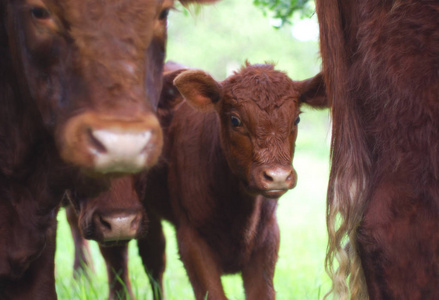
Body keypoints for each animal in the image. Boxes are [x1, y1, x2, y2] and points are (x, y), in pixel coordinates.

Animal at [139, 62, 328, 298]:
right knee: (153, 260)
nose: (277, 176)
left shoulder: (267, 238)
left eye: (297, 119)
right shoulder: (191, 239)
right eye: (235, 120)